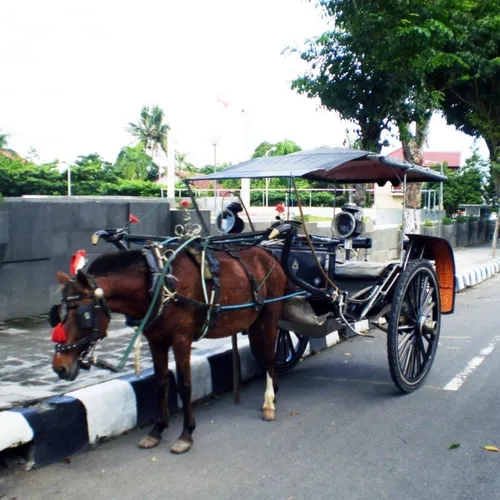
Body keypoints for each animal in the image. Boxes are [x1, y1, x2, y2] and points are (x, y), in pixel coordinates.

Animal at [50, 244, 290, 456]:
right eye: (58, 313)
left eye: (84, 315)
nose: (59, 366)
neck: (158, 283)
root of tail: (268, 253)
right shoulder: (156, 341)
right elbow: (160, 383)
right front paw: (157, 430)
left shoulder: (181, 339)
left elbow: (184, 385)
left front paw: (186, 434)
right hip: (253, 321)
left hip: (270, 315)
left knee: (270, 355)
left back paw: (269, 402)